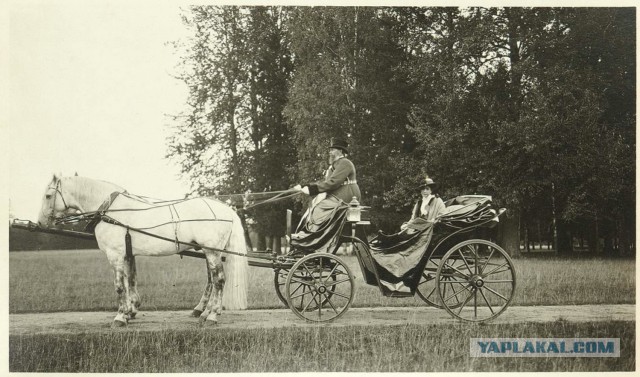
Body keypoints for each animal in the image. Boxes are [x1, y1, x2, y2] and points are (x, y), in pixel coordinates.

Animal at [37, 175, 248, 324]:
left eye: (48, 195)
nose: (40, 222)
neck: (110, 211)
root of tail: (227, 209)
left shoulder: (115, 255)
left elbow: (120, 286)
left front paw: (120, 317)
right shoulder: (128, 253)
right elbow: (131, 281)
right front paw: (130, 311)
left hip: (211, 251)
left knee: (218, 280)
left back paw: (211, 316)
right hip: (211, 252)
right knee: (213, 280)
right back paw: (205, 312)